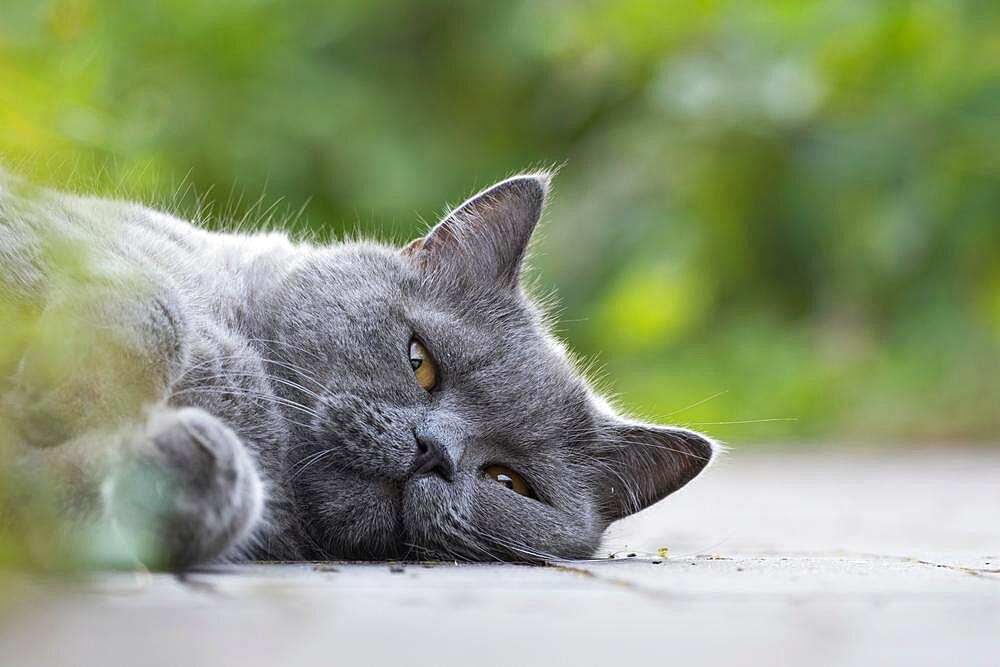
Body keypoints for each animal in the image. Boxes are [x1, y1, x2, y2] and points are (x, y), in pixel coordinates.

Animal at [0, 168, 720, 568]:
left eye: (508, 481)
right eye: (420, 361)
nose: (434, 452)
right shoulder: (51, 224)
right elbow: (161, 305)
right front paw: (57, 394)